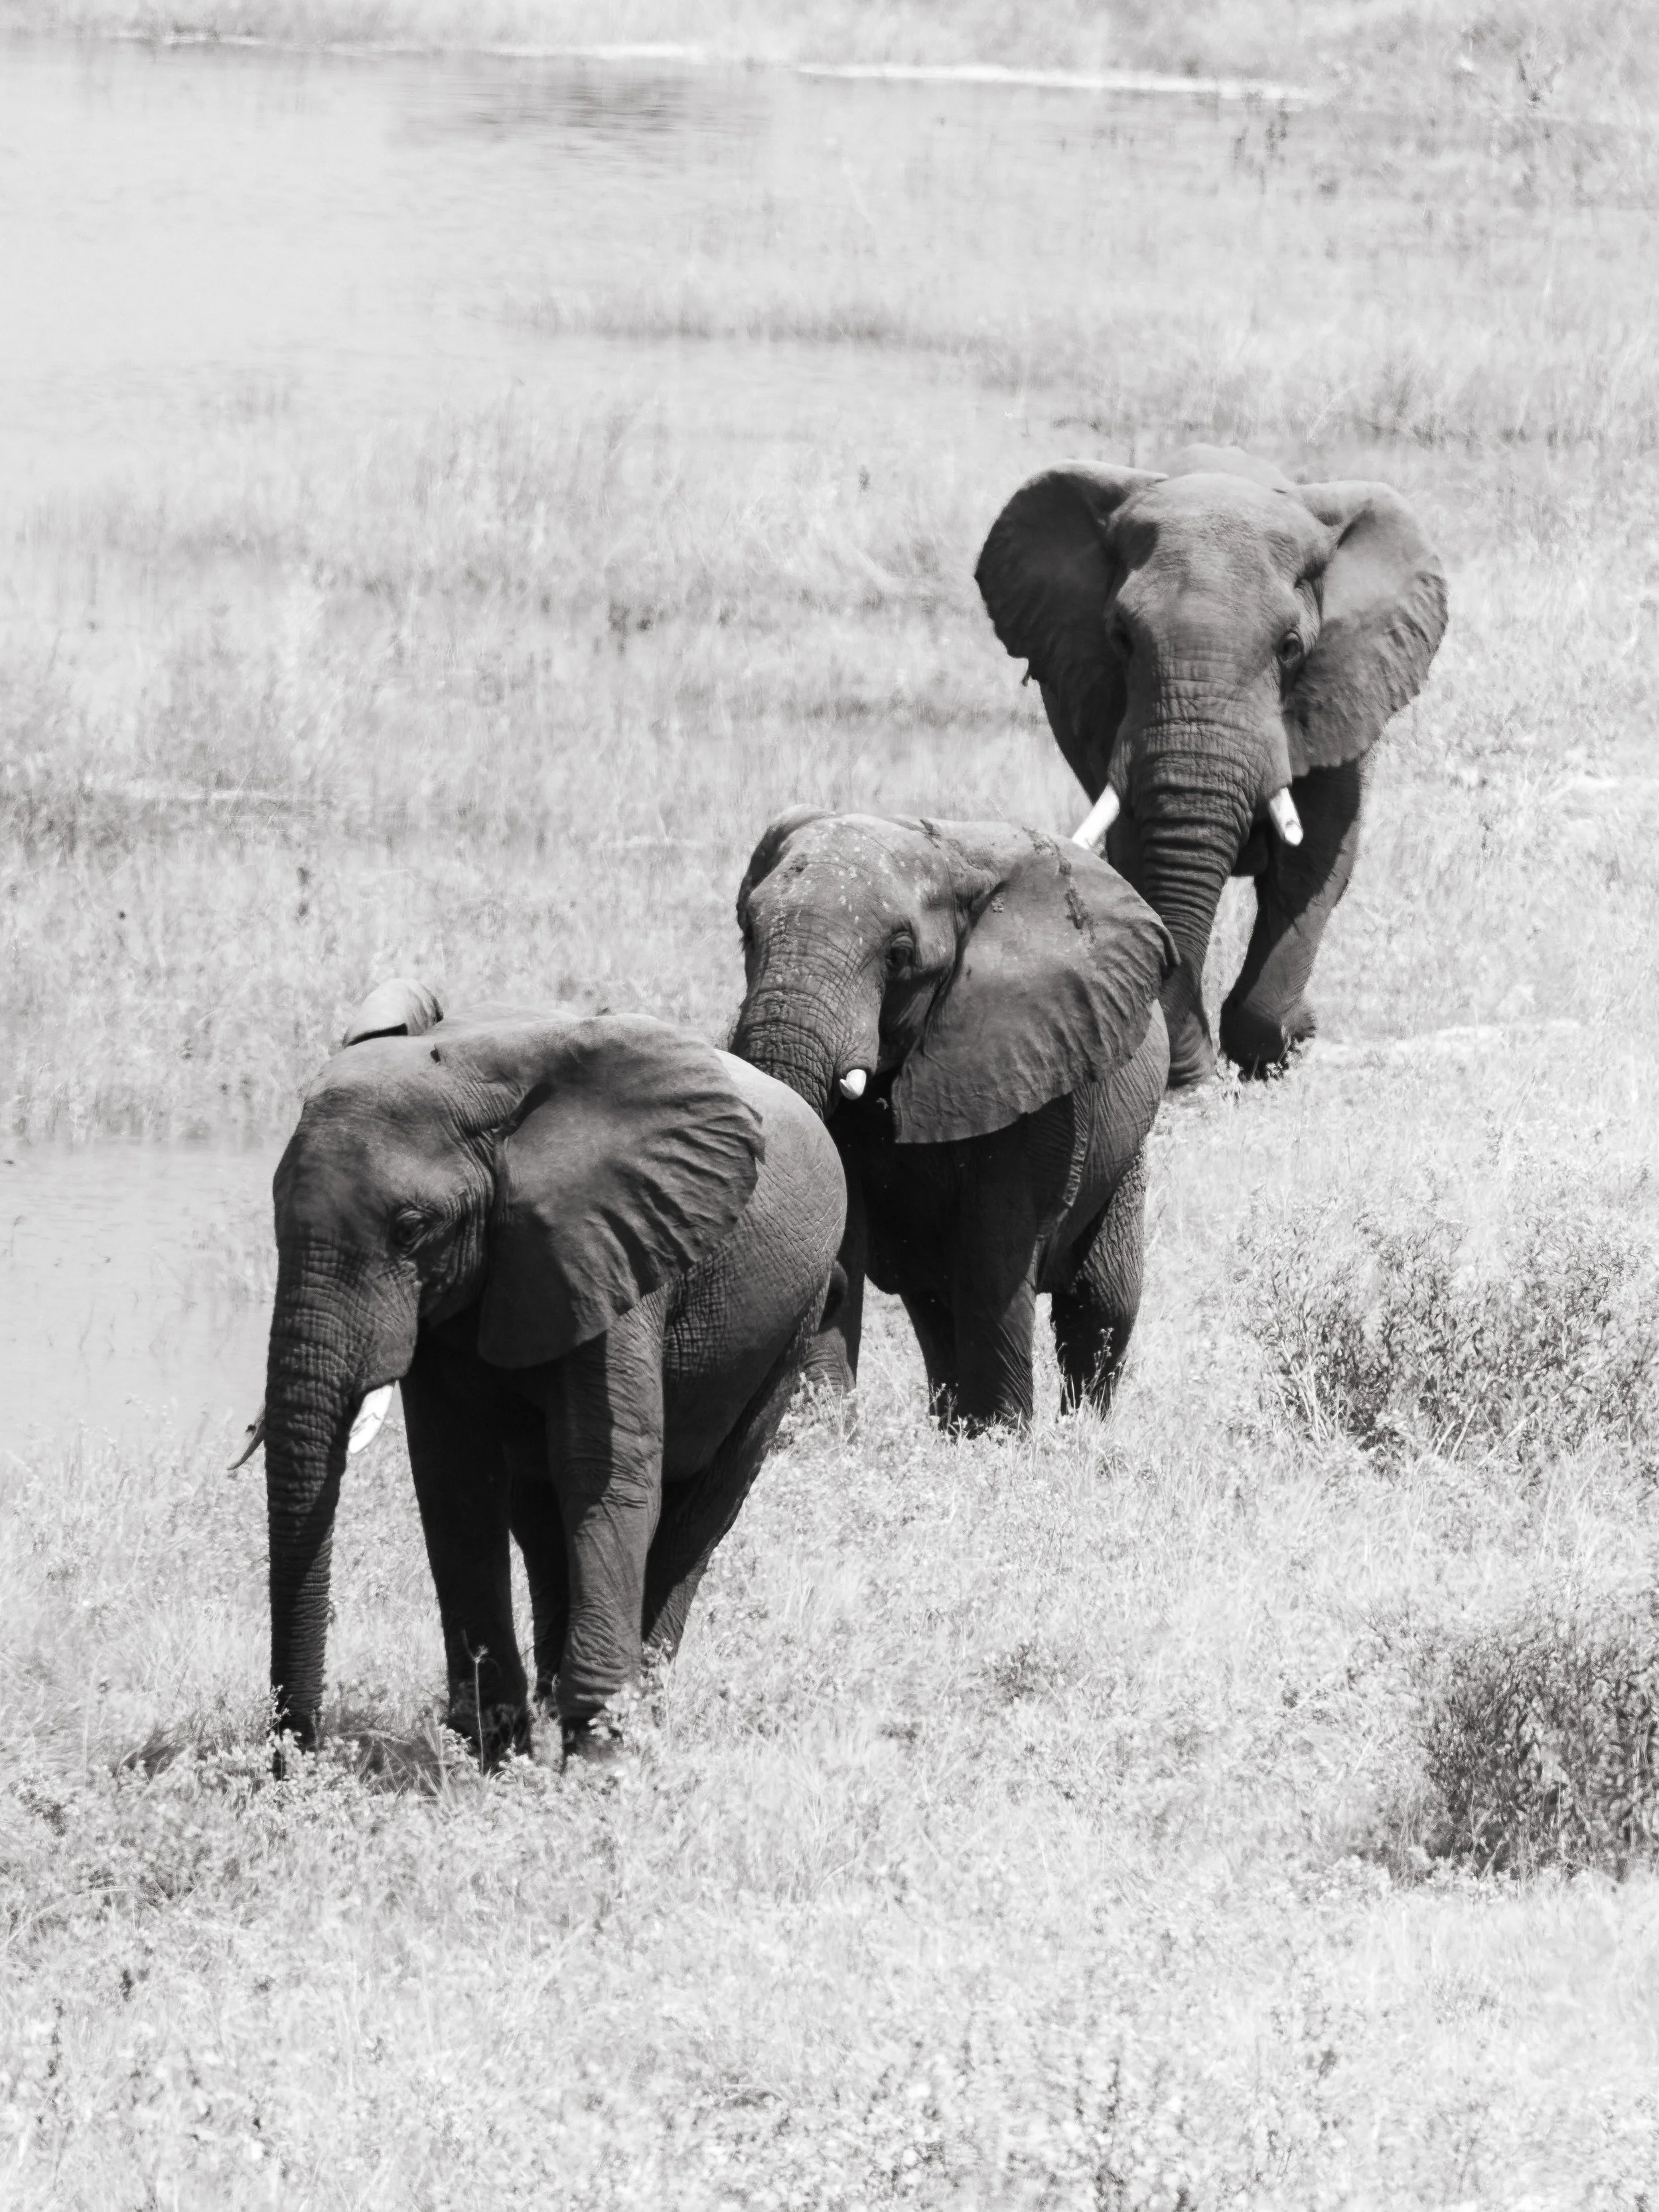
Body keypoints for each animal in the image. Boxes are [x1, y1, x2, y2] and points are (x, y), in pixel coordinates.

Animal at [258, 980, 846, 1762]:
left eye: (410, 1230)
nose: (290, 1757)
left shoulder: (619, 1239)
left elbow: (601, 1466)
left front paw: (597, 1755)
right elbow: (455, 1477)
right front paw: (490, 1750)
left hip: (793, 1321)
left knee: (701, 1512)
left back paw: (640, 1714)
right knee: (538, 1520)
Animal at [729, 811, 1176, 1431]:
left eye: (898, 955)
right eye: (746, 931)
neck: (952, 860)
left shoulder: (1033, 1064)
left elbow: (996, 1254)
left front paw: (1000, 1441)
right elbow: (845, 1223)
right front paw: (820, 1432)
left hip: (1126, 1146)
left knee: (1099, 1300)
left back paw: (1080, 1431)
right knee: (937, 1306)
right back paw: (953, 1427)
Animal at [975, 445, 1447, 1087]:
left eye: (1290, 648)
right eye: (1121, 638)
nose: (1186, 1071)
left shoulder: (1339, 692)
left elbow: (1312, 862)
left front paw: (1283, 1045)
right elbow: (1139, 855)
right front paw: (1193, 1077)